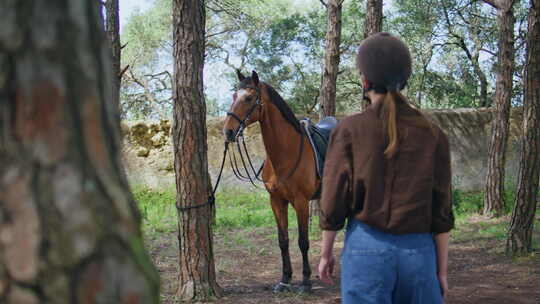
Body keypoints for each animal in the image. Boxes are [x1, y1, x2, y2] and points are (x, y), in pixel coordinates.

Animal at [224, 70, 320, 294]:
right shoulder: (276, 201)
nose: (228, 131)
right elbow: (283, 240)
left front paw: (306, 282)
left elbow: (303, 241)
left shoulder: (301, 202)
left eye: (249, 98)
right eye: (234, 96)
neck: (286, 153)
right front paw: (284, 280)